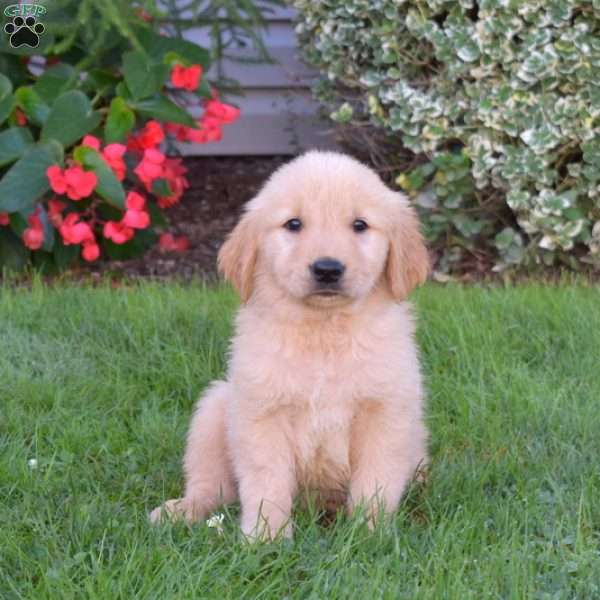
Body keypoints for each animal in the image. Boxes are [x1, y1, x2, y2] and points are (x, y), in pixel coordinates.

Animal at [150, 150, 432, 540]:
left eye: (360, 225)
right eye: (293, 224)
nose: (327, 269)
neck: (324, 331)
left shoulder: (385, 411)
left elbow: (375, 480)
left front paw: (369, 533)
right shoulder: (261, 412)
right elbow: (266, 480)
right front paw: (266, 537)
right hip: (214, 407)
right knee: (211, 485)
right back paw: (181, 510)